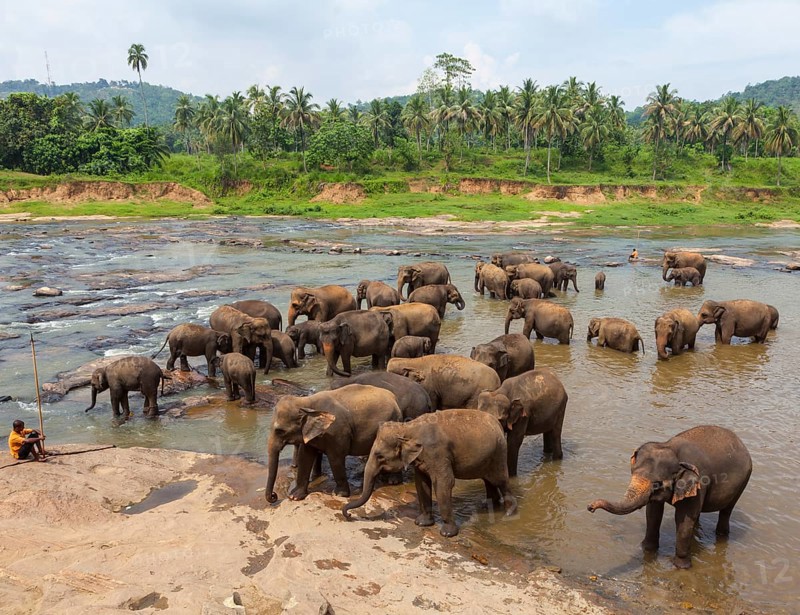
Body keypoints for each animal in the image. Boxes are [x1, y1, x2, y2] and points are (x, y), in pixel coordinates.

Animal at [264, 384, 403, 502]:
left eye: (280, 431)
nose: (274, 496)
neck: (306, 402)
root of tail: (394, 397)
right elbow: (305, 456)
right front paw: (294, 496)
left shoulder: (336, 432)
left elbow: (335, 458)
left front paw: (339, 494)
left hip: (394, 422)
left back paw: (394, 481)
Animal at [342, 410, 517, 537]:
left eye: (379, 456)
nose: (349, 515)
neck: (407, 428)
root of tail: (498, 423)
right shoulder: (422, 459)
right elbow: (422, 483)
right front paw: (421, 523)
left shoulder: (438, 453)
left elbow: (444, 483)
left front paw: (447, 533)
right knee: (489, 481)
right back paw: (490, 506)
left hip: (499, 453)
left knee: (501, 481)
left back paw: (509, 513)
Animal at [587, 425, 752, 569]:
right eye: (632, 472)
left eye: (657, 484)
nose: (590, 507)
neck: (670, 447)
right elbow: (653, 513)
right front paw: (647, 549)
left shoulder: (699, 484)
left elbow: (683, 519)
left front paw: (681, 567)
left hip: (743, 483)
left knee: (726, 511)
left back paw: (722, 536)